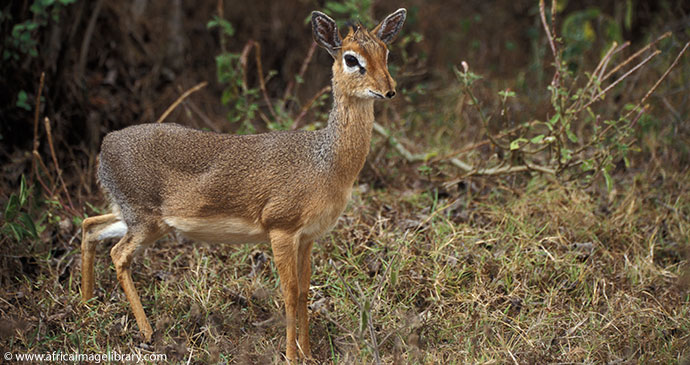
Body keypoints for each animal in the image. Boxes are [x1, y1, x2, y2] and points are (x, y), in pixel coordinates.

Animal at [79, 7, 404, 360]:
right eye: (351, 58)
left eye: (385, 52)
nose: (389, 89)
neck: (326, 164)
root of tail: (104, 146)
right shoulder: (281, 228)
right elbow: (289, 292)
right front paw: (290, 356)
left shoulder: (308, 237)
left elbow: (305, 291)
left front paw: (308, 354)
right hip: (145, 221)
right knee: (118, 254)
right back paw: (147, 332)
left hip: (134, 216)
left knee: (90, 225)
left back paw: (86, 305)